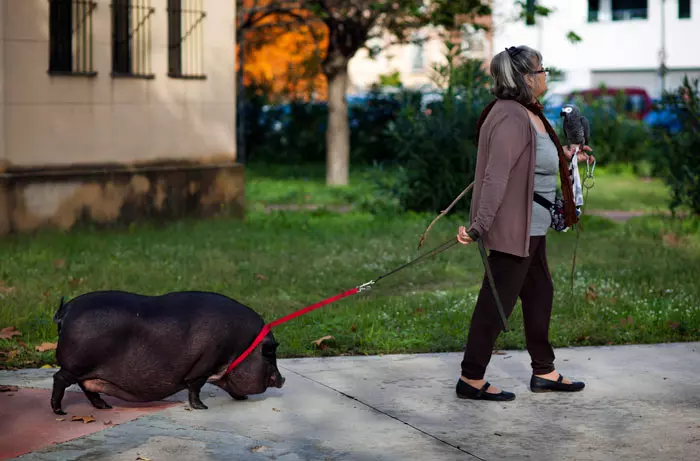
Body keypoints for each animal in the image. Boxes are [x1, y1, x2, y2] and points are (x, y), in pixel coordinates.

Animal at [49, 290, 286, 416]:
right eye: (269, 353)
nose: (282, 379)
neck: (243, 345)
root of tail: (65, 311)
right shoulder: (203, 366)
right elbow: (195, 387)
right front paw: (203, 408)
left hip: (87, 370)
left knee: (87, 386)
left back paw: (105, 406)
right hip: (76, 365)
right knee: (59, 378)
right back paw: (60, 411)